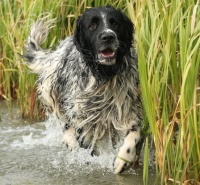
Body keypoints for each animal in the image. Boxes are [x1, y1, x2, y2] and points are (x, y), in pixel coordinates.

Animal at [25, 5, 143, 173]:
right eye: (92, 26)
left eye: (115, 23)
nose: (108, 36)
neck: (103, 75)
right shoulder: (84, 121)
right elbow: (88, 147)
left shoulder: (126, 110)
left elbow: (134, 134)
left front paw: (123, 160)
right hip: (51, 93)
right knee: (66, 126)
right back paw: (70, 141)